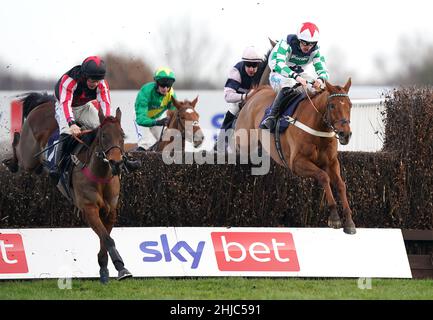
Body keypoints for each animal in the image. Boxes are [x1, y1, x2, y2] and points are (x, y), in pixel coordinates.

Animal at [2, 92, 132, 282]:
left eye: (122, 135)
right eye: (103, 136)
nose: (116, 163)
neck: (100, 176)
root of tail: (45, 101)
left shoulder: (110, 211)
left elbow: (104, 238)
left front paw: (106, 267)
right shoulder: (89, 209)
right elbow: (107, 239)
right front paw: (121, 267)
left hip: (36, 164)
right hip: (29, 157)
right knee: (18, 144)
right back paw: (10, 161)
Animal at [235, 79, 356, 235]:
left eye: (350, 105)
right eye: (332, 105)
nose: (345, 134)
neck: (317, 128)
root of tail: (256, 93)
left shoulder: (332, 162)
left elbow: (341, 184)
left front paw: (349, 221)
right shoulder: (297, 163)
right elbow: (323, 176)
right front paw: (334, 217)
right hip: (243, 143)